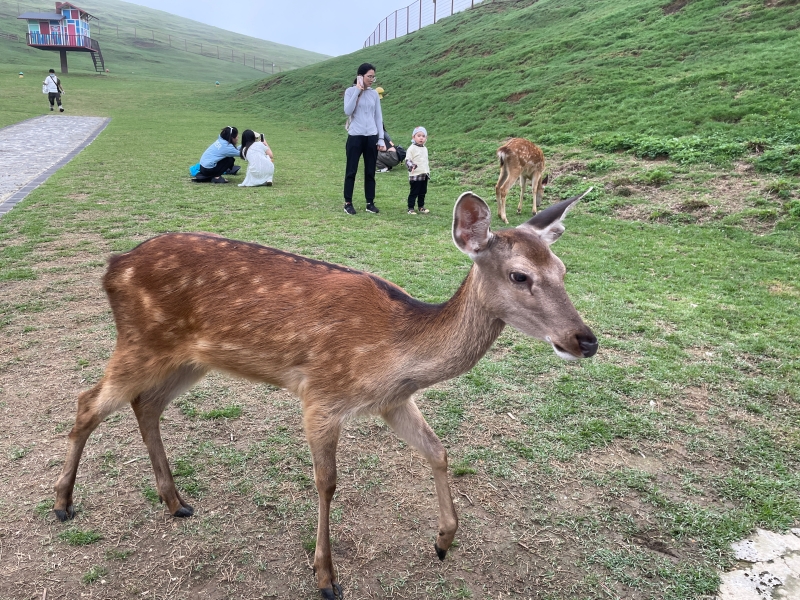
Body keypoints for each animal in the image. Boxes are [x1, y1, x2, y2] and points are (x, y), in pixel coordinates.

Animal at [53, 190, 596, 596]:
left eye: (564, 270)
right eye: (520, 275)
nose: (585, 340)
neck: (398, 352)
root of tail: (111, 266)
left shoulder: (391, 401)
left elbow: (438, 450)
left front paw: (443, 541)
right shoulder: (321, 395)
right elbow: (327, 482)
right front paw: (326, 577)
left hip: (187, 360)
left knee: (145, 405)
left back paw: (175, 502)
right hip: (140, 342)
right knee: (87, 402)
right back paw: (62, 504)